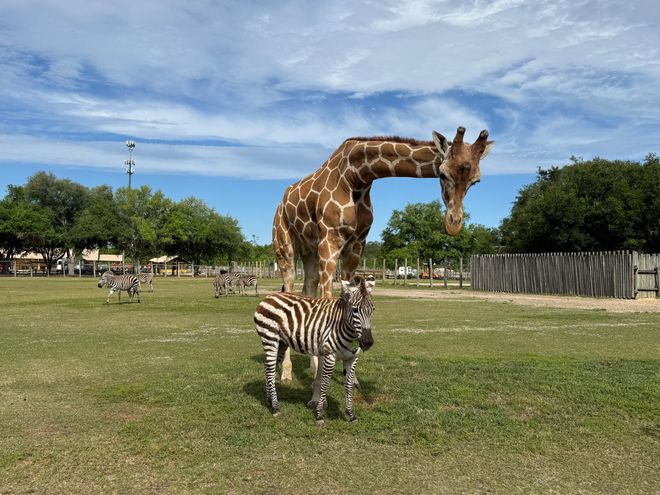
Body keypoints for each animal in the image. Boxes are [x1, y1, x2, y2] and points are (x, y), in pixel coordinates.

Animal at [254, 275, 374, 425]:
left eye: (372, 310)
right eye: (355, 310)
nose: (367, 342)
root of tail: (269, 296)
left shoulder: (352, 359)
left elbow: (348, 385)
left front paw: (350, 414)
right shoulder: (329, 356)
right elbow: (325, 384)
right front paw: (319, 414)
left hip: (281, 343)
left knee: (267, 367)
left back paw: (269, 400)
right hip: (270, 339)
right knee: (270, 371)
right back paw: (275, 407)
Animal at [273, 126, 494, 388]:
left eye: (476, 181)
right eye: (442, 173)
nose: (453, 224)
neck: (357, 178)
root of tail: (282, 202)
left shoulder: (357, 243)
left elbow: (348, 296)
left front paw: (350, 376)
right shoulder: (331, 239)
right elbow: (329, 298)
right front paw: (321, 379)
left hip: (309, 250)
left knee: (307, 287)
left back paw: (312, 364)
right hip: (285, 245)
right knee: (289, 288)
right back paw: (286, 372)